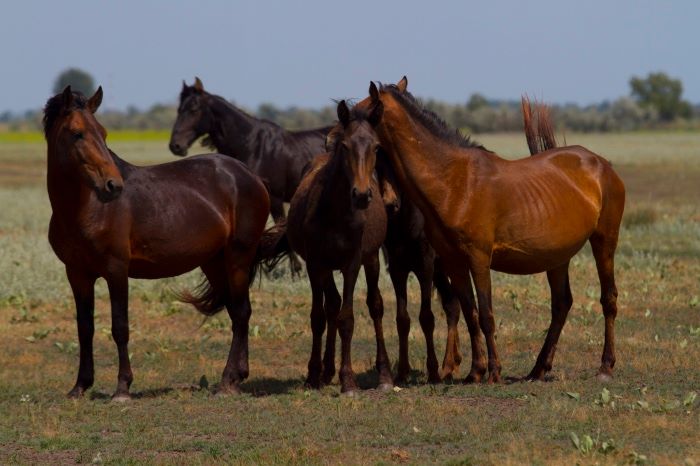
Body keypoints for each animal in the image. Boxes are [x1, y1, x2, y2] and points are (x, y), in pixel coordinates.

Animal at [264, 99, 394, 394]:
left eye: (376, 147)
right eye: (344, 146)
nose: (361, 195)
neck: (336, 213)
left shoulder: (351, 263)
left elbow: (347, 318)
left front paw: (348, 381)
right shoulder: (316, 264)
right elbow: (319, 317)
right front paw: (314, 374)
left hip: (372, 260)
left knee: (375, 306)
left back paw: (384, 375)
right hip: (326, 269)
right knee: (331, 306)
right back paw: (326, 371)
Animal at [356, 76, 624, 382]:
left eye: (359, 112)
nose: (389, 202)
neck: (454, 181)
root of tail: (601, 165)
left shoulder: (478, 259)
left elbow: (485, 314)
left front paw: (493, 371)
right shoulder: (453, 262)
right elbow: (470, 312)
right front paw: (476, 371)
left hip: (604, 241)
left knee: (608, 299)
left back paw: (605, 366)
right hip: (558, 257)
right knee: (561, 304)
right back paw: (538, 369)